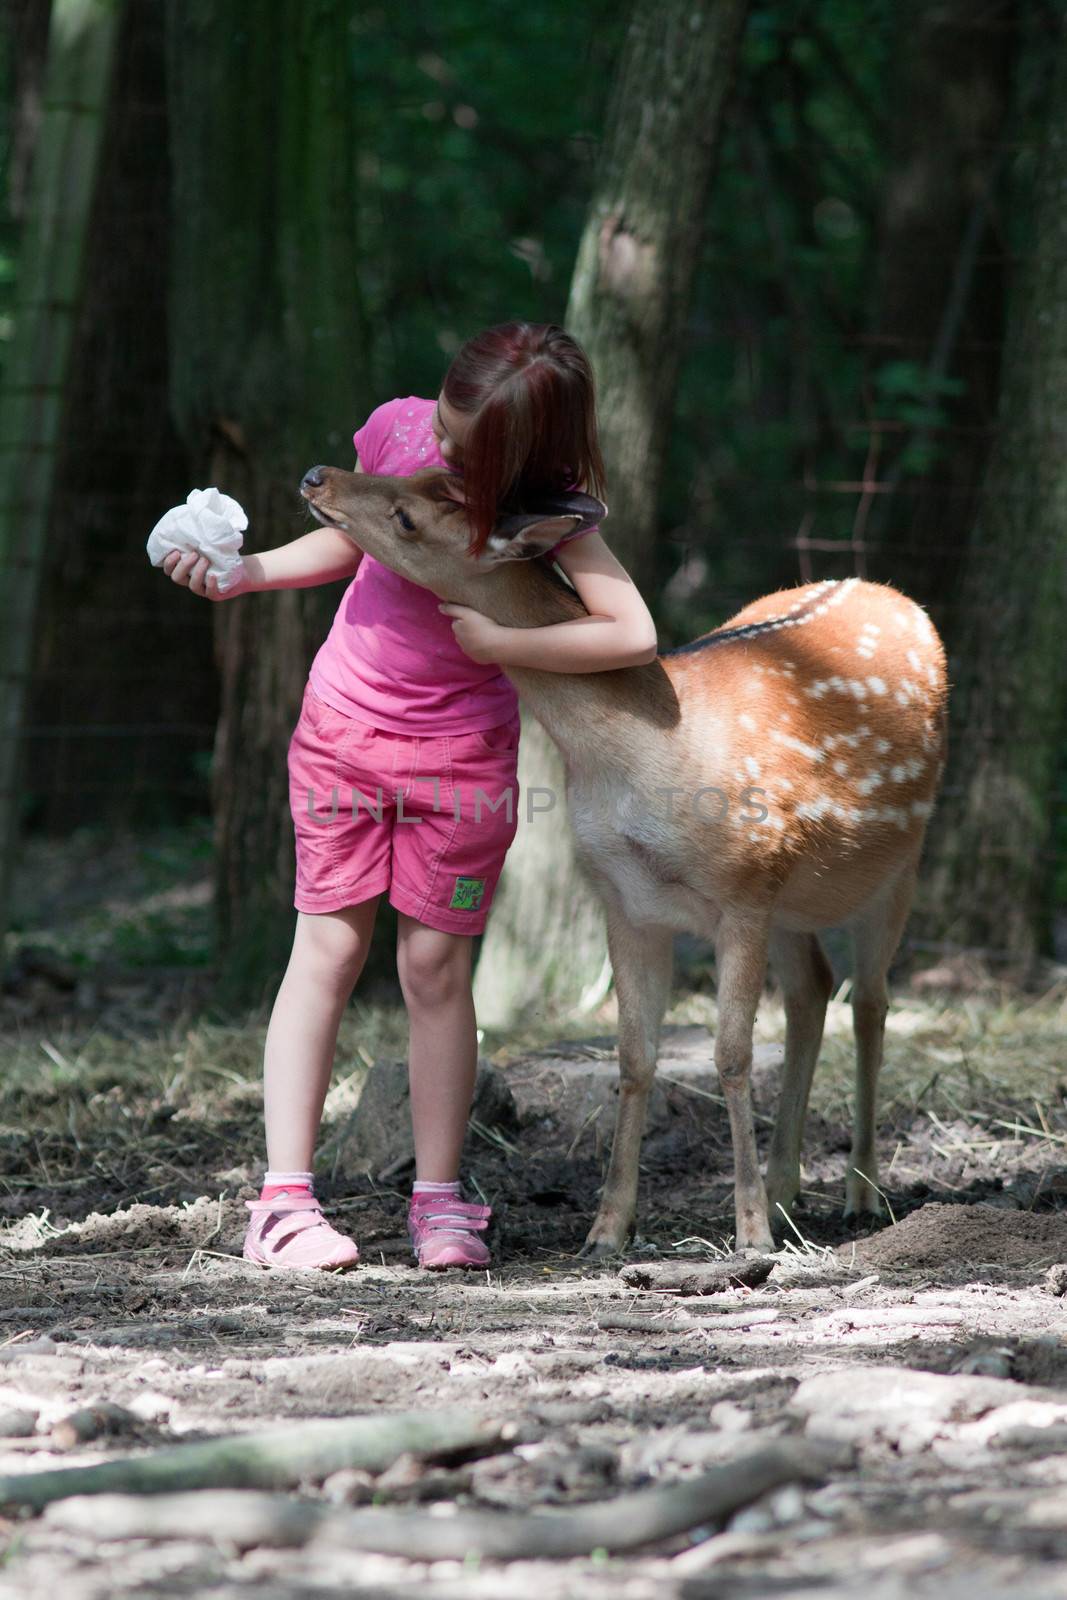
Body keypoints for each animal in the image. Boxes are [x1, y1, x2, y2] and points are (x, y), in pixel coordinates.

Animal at [299, 464, 940, 1248]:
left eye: (408, 518)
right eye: (419, 474)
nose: (316, 476)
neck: (645, 760)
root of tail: (890, 590)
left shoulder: (743, 888)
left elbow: (730, 1056)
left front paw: (750, 1232)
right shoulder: (626, 898)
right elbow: (633, 1057)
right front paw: (608, 1226)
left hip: (896, 861)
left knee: (870, 1002)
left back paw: (858, 1193)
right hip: (794, 895)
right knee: (812, 991)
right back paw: (789, 1189)